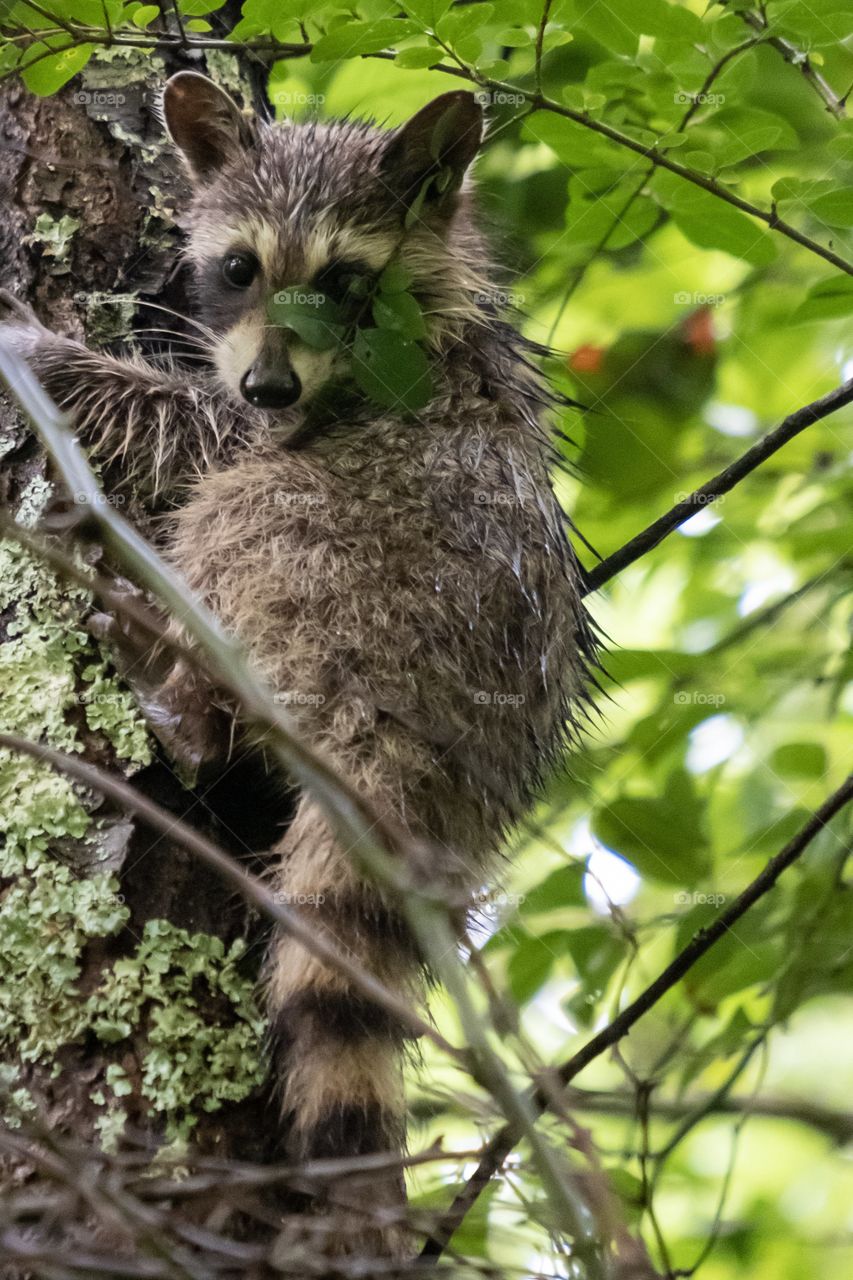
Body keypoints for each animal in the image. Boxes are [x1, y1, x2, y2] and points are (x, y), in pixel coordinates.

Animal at [0, 72, 594, 1259]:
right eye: (240, 269)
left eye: (344, 281)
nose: (272, 386)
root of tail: (426, 729)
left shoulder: (357, 403)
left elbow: (196, 433)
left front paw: (49, 356)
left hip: (350, 567)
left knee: (238, 516)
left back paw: (177, 688)